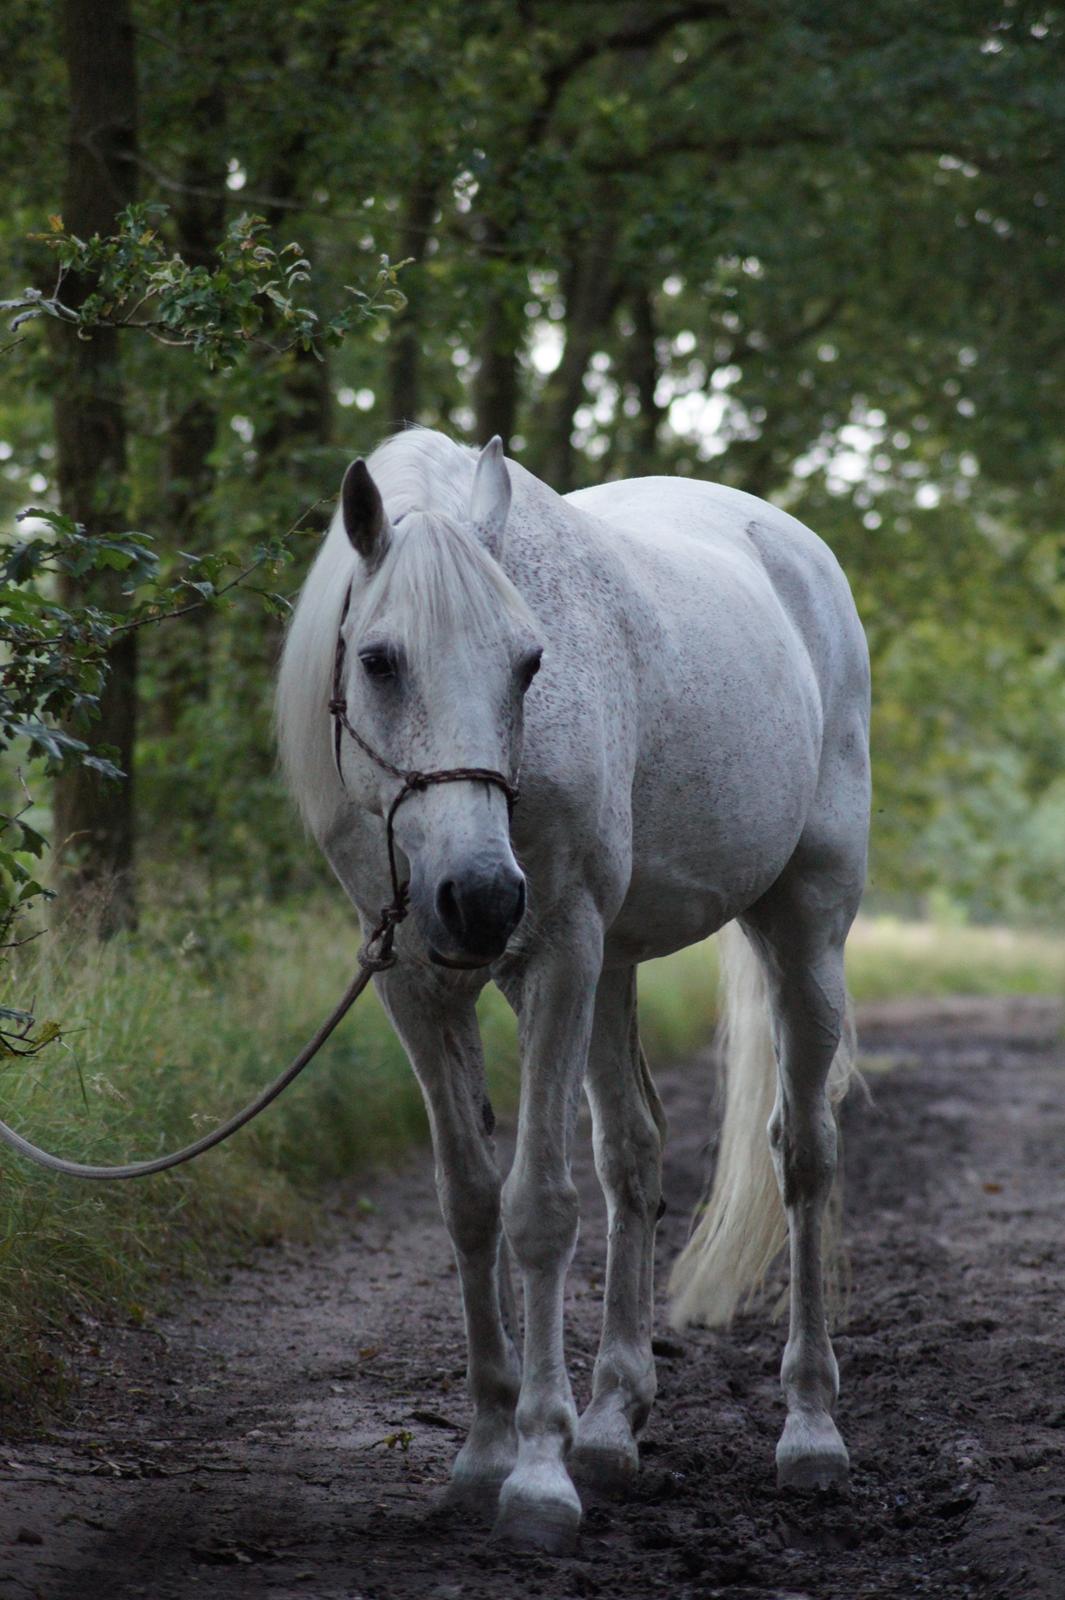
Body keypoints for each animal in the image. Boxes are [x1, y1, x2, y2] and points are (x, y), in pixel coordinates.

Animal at [278, 425, 869, 1548]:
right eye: (377, 660)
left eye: (529, 662)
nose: (478, 897)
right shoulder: (416, 983)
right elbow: (472, 1202)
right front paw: (485, 1450)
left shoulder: (558, 953)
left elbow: (540, 1208)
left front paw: (539, 1477)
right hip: (616, 966)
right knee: (632, 1155)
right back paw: (609, 1422)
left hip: (802, 926)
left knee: (806, 1157)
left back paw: (811, 1429)